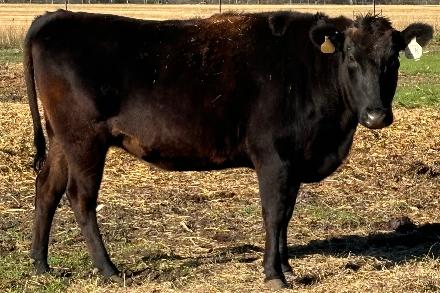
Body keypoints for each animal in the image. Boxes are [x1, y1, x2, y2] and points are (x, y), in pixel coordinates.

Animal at [26, 9, 434, 288]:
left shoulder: (293, 161)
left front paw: (286, 266)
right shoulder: (273, 157)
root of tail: (58, 16)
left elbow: (287, 214)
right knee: (80, 198)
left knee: (47, 189)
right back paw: (109, 270)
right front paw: (274, 274)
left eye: (393, 60)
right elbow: (274, 213)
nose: (376, 115)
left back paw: (41, 264)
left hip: (61, 140)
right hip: (84, 139)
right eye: (350, 58)